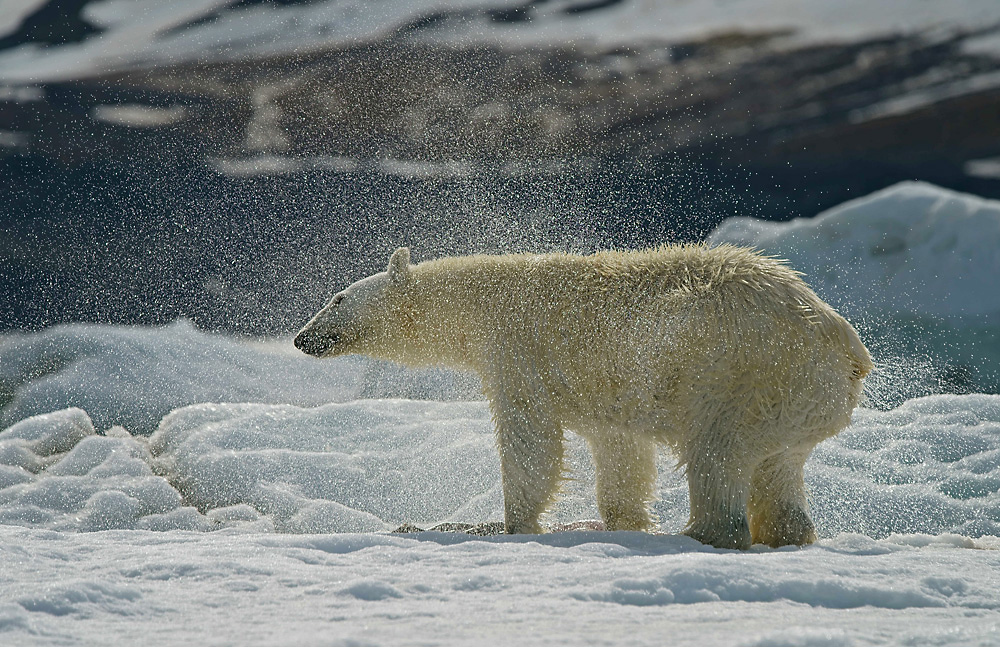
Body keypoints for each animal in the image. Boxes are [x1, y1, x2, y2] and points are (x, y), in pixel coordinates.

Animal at [292, 246, 872, 548]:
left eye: (337, 297)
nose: (302, 338)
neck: (485, 299)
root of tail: (847, 347)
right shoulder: (607, 392)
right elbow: (619, 454)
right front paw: (622, 523)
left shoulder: (517, 351)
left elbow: (531, 441)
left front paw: (507, 525)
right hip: (793, 401)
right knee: (778, 465)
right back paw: (786, 531)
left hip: (744, 374)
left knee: (716, 452)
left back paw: (703, 532)